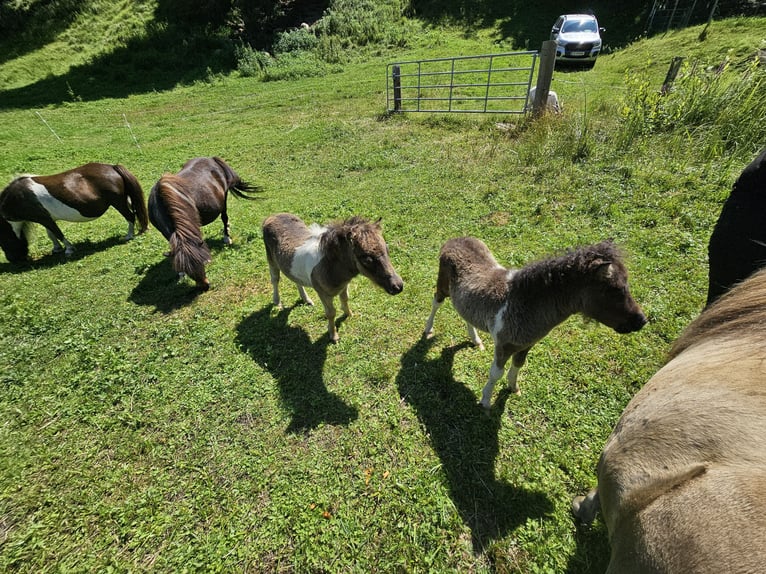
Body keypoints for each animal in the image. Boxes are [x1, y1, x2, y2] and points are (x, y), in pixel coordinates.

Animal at [0, 161, 149, 262]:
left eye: (4, 241)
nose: (14, 259)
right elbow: (51, 234)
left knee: (130, 216)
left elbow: (58, 233)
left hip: (118, 202)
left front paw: (69, 249)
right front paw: (56, 249)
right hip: (125, 200)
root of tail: (112, 167)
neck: (18, 198)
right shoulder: (47, 219)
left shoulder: (44, 219)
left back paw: (129, 236)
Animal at [262, 214, 404, 344]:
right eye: (366, 258)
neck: (331, 266)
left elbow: (345, 299)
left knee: (296, 280)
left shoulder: (344, 285)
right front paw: (333, 335)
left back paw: (306, 299)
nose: (398, 286)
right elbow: (331, 313)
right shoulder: (322, 293)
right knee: (275, 279)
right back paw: (277, 303)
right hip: (271, 260)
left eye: (387, 249)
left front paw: (349, 314)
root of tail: (271, 217)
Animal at [426, 237, 648, 410]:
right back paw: (428, 330)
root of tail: (453, 240)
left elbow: (518, 365)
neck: (523, 303)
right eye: (615, 289)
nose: (641, 320)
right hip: (443, 286)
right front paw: (486, 401)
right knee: (436, 302)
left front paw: (513, 388)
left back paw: (476, 340)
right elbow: (495, 373)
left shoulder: (526, 344)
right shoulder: (504, 346)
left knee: (464, 313)